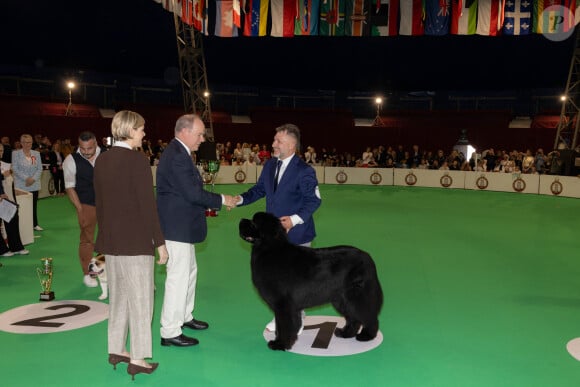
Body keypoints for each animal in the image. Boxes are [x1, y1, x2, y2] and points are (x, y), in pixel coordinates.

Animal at [238, 212, 382, 352]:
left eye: (254, 222)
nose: (241, 220)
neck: (270, 249)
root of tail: (368, 257)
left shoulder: (283, 304)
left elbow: (284, 325)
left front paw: (280, 344)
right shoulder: (289, 306)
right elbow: (287, 325)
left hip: (357, 296)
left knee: (368, 315)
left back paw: (366, 336)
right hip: (342, 299)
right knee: (353, 317)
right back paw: (345, 333)